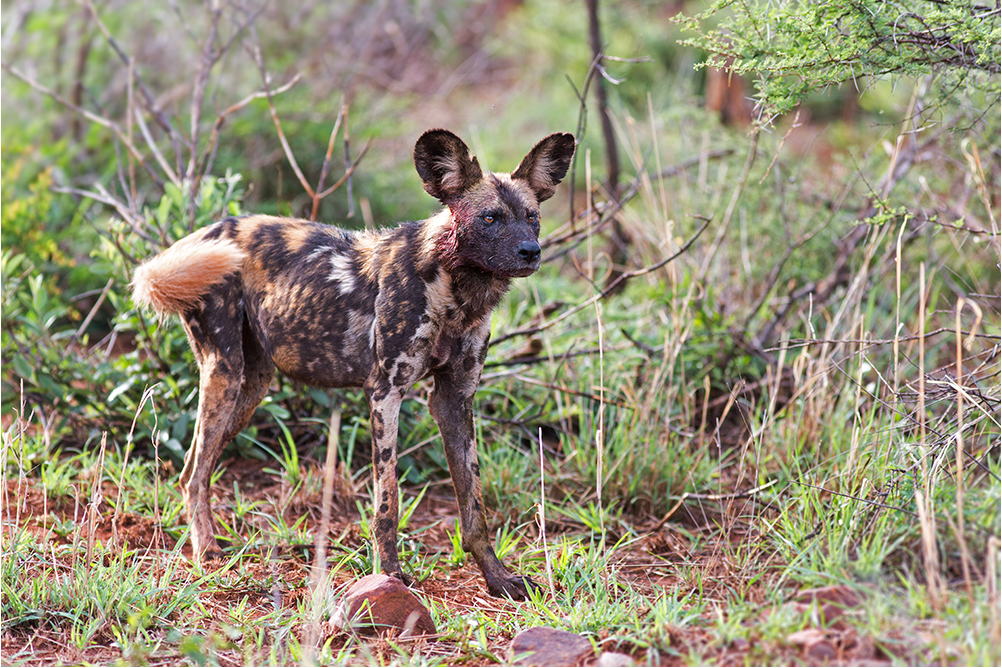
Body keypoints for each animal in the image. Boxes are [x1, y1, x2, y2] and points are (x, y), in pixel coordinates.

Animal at [133, 128, 577, 596]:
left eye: (532, 216)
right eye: (490, 218)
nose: (531, 251)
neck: (457, 292)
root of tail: (200, 234)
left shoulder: (455, 399)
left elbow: (474, 505)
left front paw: (498, 577)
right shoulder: (385, 393)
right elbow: (388, 501)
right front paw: (391, 574)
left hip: (250, 388)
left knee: (192, 470)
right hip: (224, 373)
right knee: (195, 473)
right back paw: (206, 553)